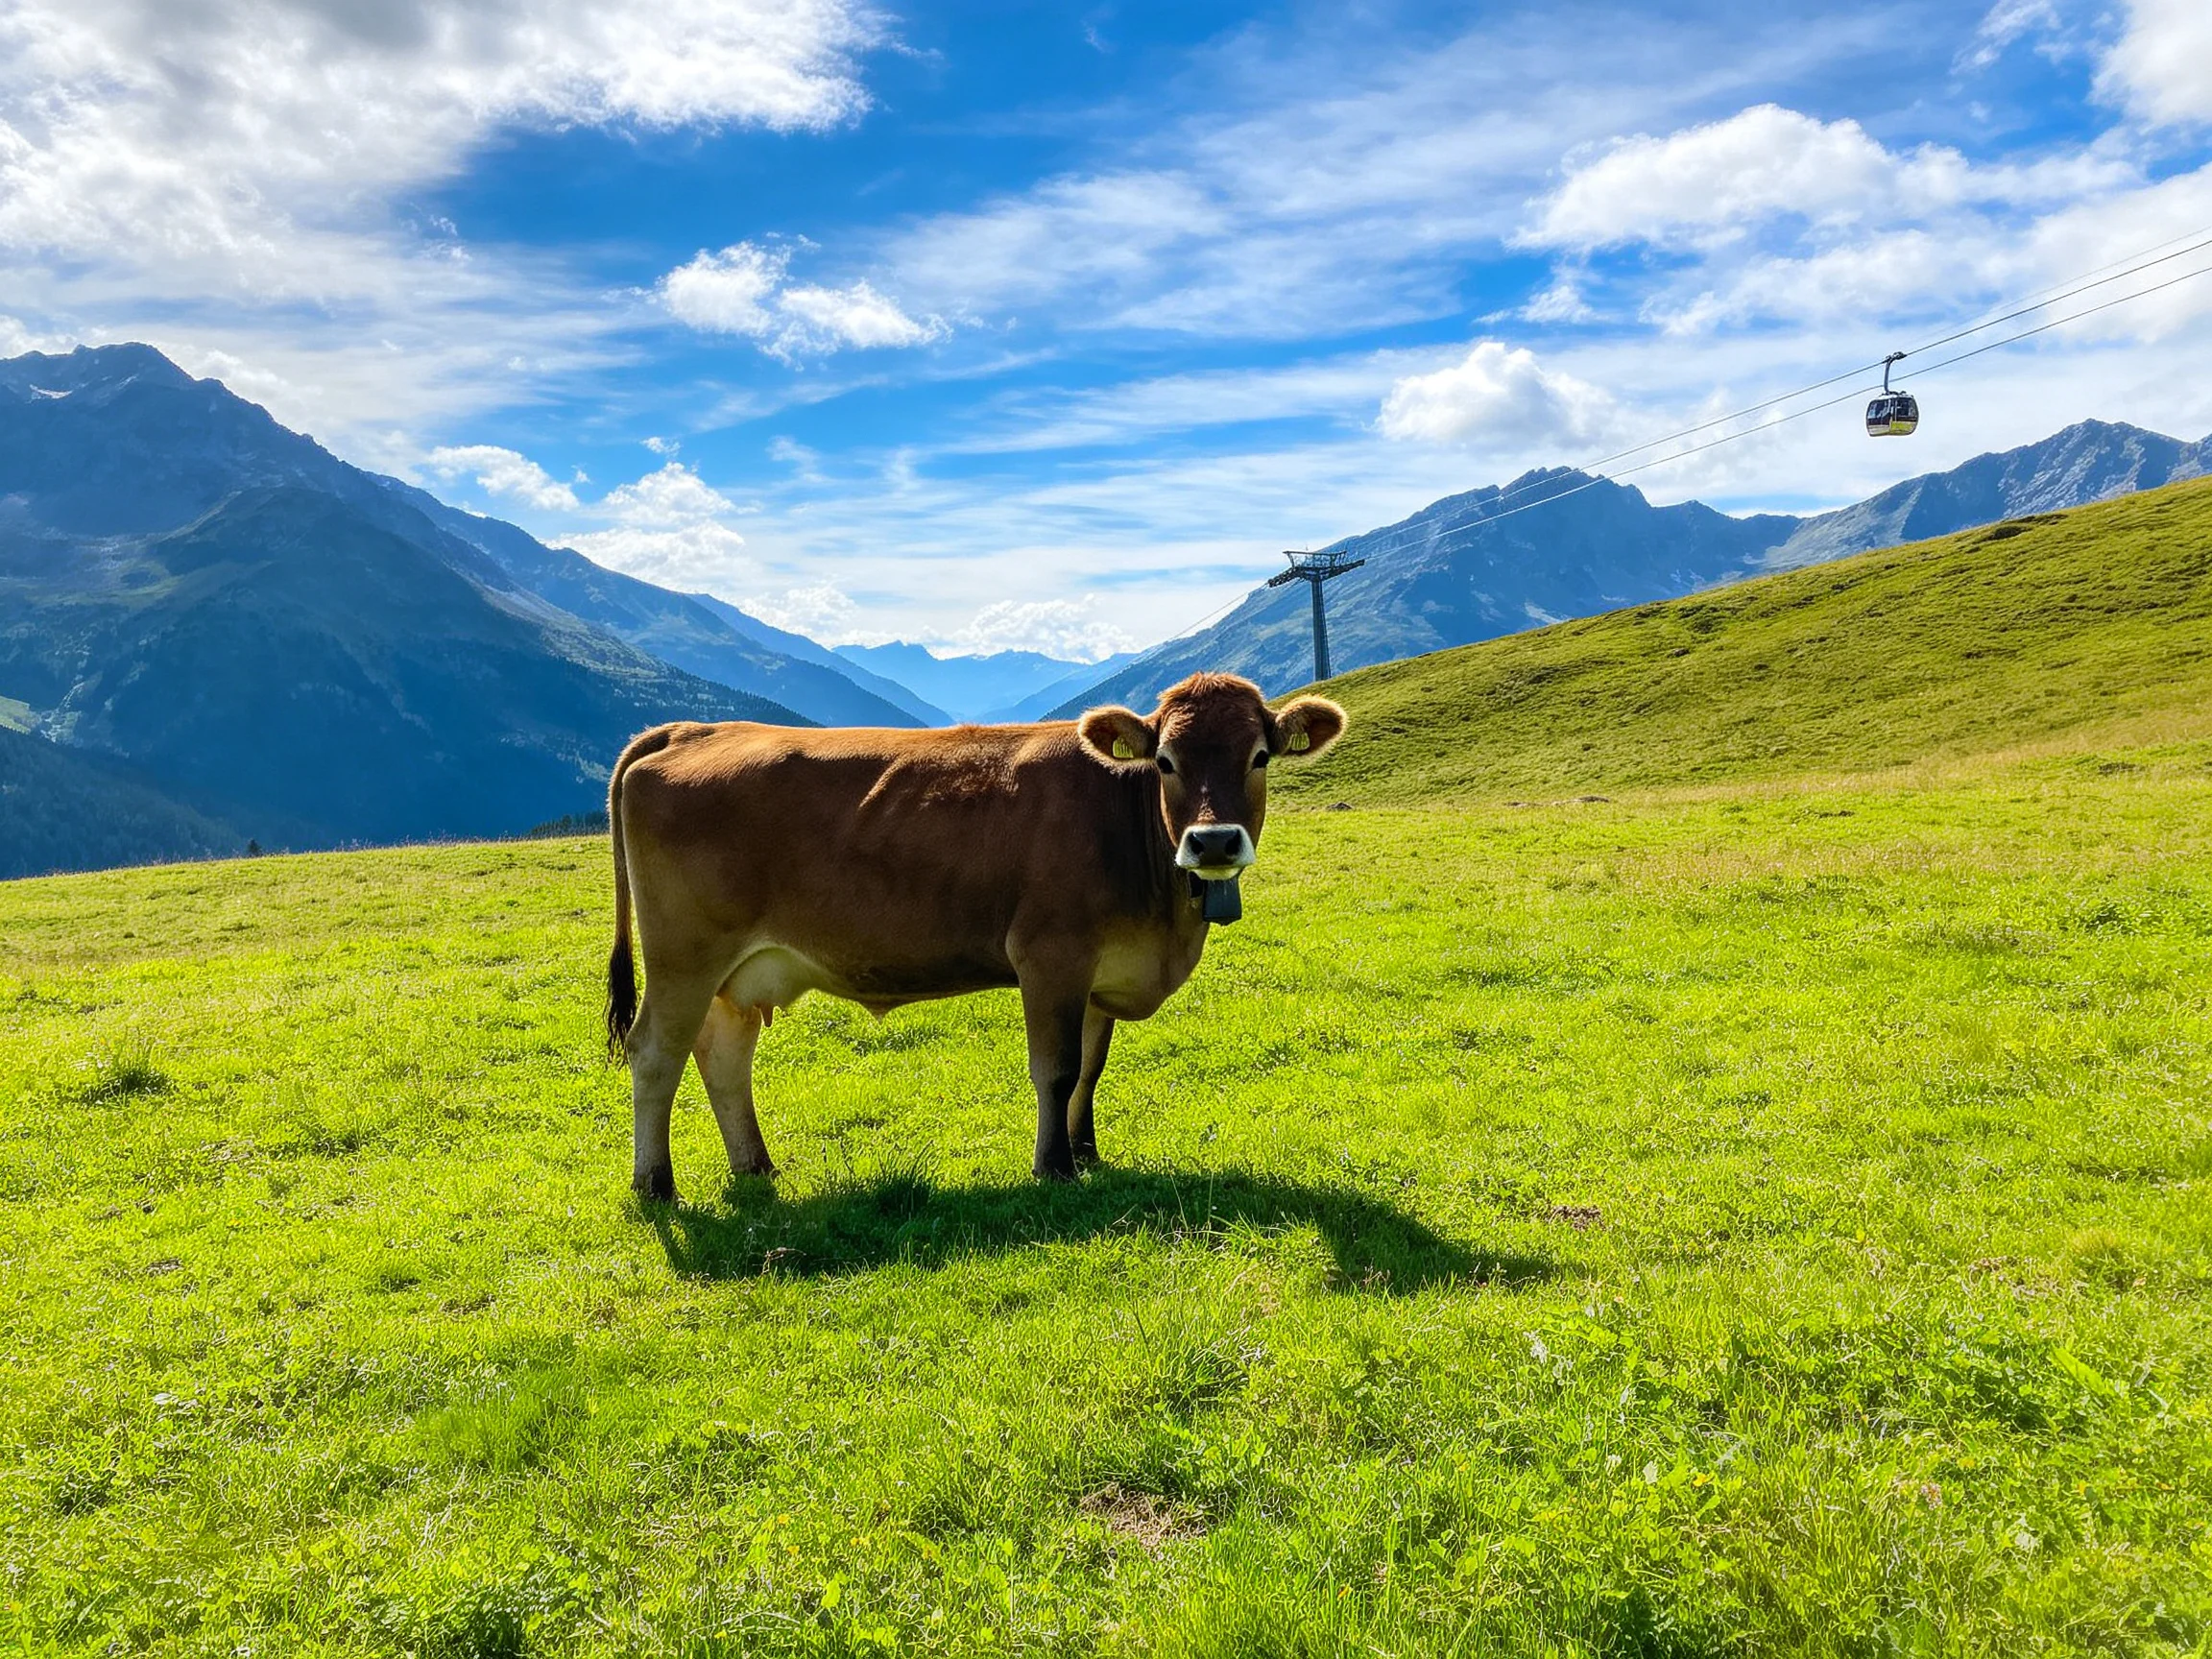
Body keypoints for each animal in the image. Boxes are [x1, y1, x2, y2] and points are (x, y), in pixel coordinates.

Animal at [602, 672, 1347, 1199]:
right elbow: (1056, 1068)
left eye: (1260, 757)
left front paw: (1087, 1153)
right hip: (683, 957)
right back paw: (656, 1185)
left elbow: (1092, 1068)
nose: (1213, 841)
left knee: (722, 1054)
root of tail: (690, 729)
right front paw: (1053, 1167)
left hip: (737, 972)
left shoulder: (1100, 972)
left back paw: (755, 1166)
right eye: (1164, 761)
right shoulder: (1050, 955)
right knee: (655, 1053)